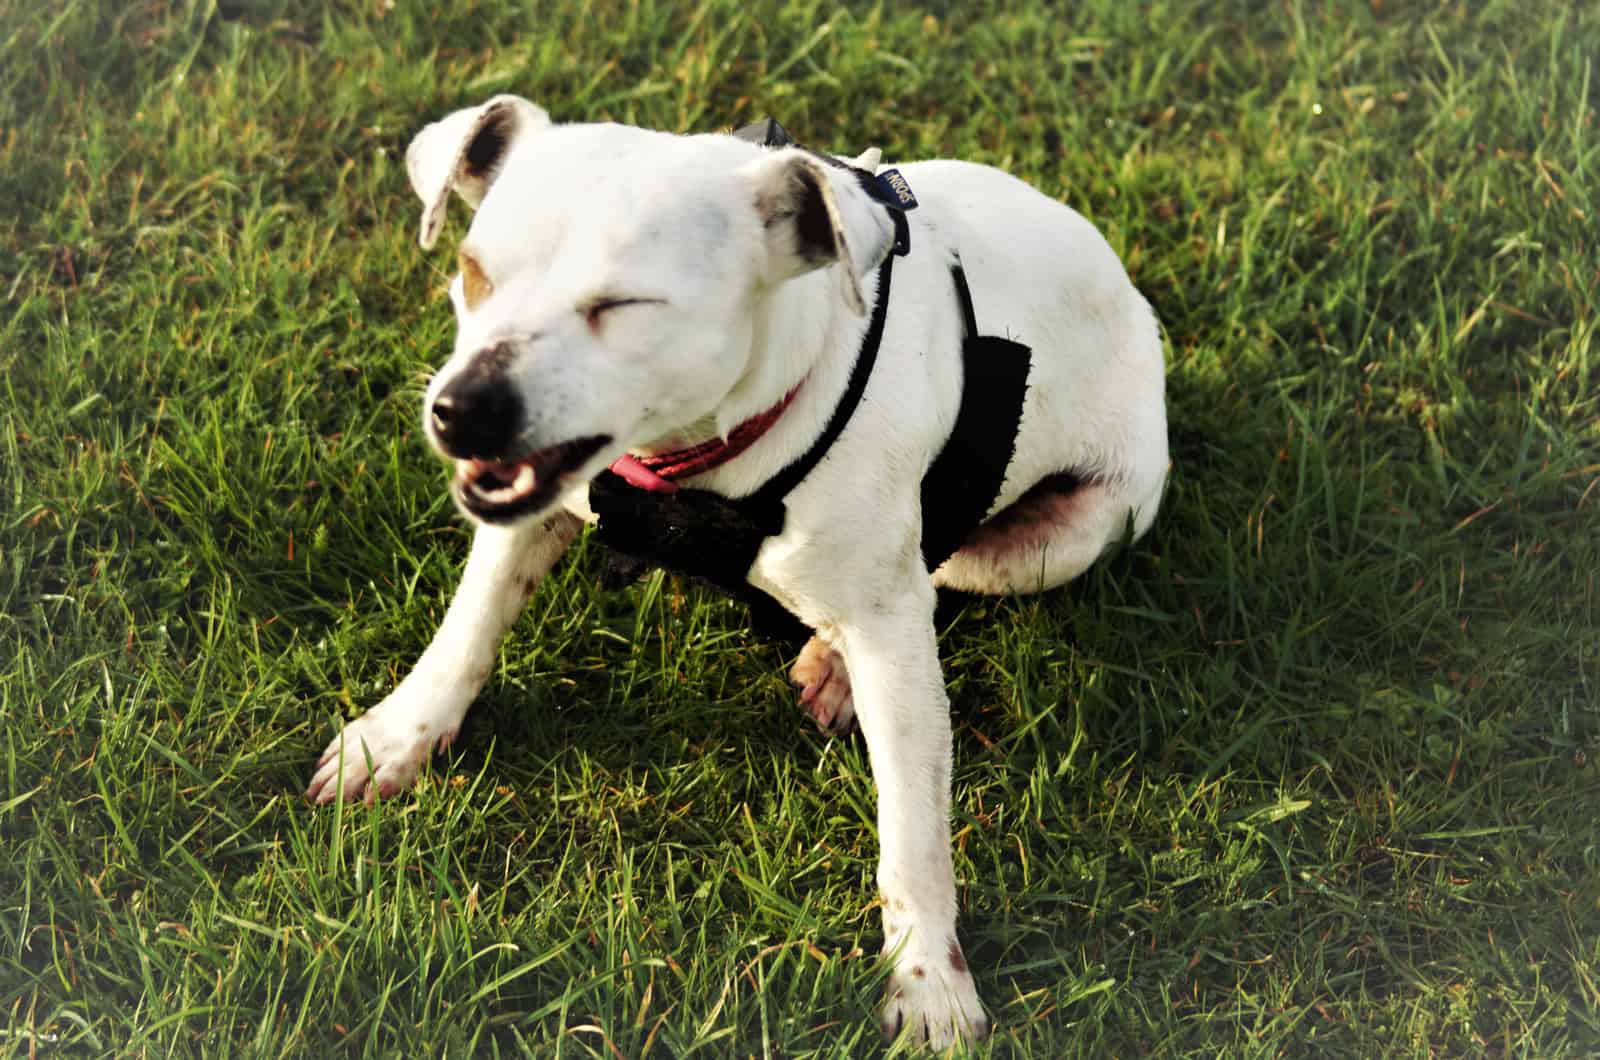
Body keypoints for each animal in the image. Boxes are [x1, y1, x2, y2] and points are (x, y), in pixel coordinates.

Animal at [305, 97, 1171, 1043]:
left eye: (625, 304)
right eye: (473, 272)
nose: (461, 410)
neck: (693, 465)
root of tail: (1133, 297)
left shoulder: (894, 632)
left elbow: (912, 832)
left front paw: (930, 986)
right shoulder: (532, 510)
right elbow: (467, 629)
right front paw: (398, 736)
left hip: (1067, 536)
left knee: (938, 577)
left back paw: (836, 663)